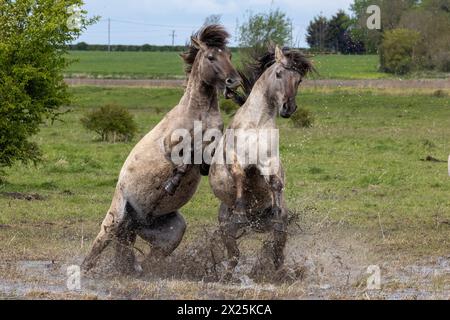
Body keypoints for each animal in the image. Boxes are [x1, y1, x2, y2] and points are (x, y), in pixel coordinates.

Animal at [82, 25, 241, 276]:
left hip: (168, 232)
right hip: (115, 218)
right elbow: (187, 156)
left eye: (230, 55)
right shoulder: (171, 146)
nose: (234, 82)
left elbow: (206, 154)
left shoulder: (211, 150)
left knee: (148, 256)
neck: (199, 113)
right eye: (210, 57)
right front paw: (171, 183)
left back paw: (137, 270)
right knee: (97, 247)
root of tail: (137, 221)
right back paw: (84, 271)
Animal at [208, 45, 312, 280]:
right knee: (234, 255)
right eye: (279, 74)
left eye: (299, 79)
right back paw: (225, 275)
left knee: (277, 254)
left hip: (278, 235)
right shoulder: (234, 158)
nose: (288, 108)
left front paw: (276, 210)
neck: (256, 123)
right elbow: (240, 175)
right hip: (226, 228)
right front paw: (240, 211)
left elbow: (276, 183)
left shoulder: (268, 162)